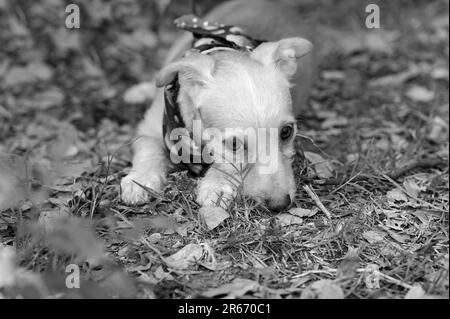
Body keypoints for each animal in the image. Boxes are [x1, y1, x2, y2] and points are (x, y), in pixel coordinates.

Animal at [119, 0, 316, 212]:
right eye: (234, 144)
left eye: (286, 132)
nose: (280, 205)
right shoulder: (147, 131)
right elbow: (149, 152)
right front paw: (140, 178)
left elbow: (223, 165)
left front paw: (217, 184)